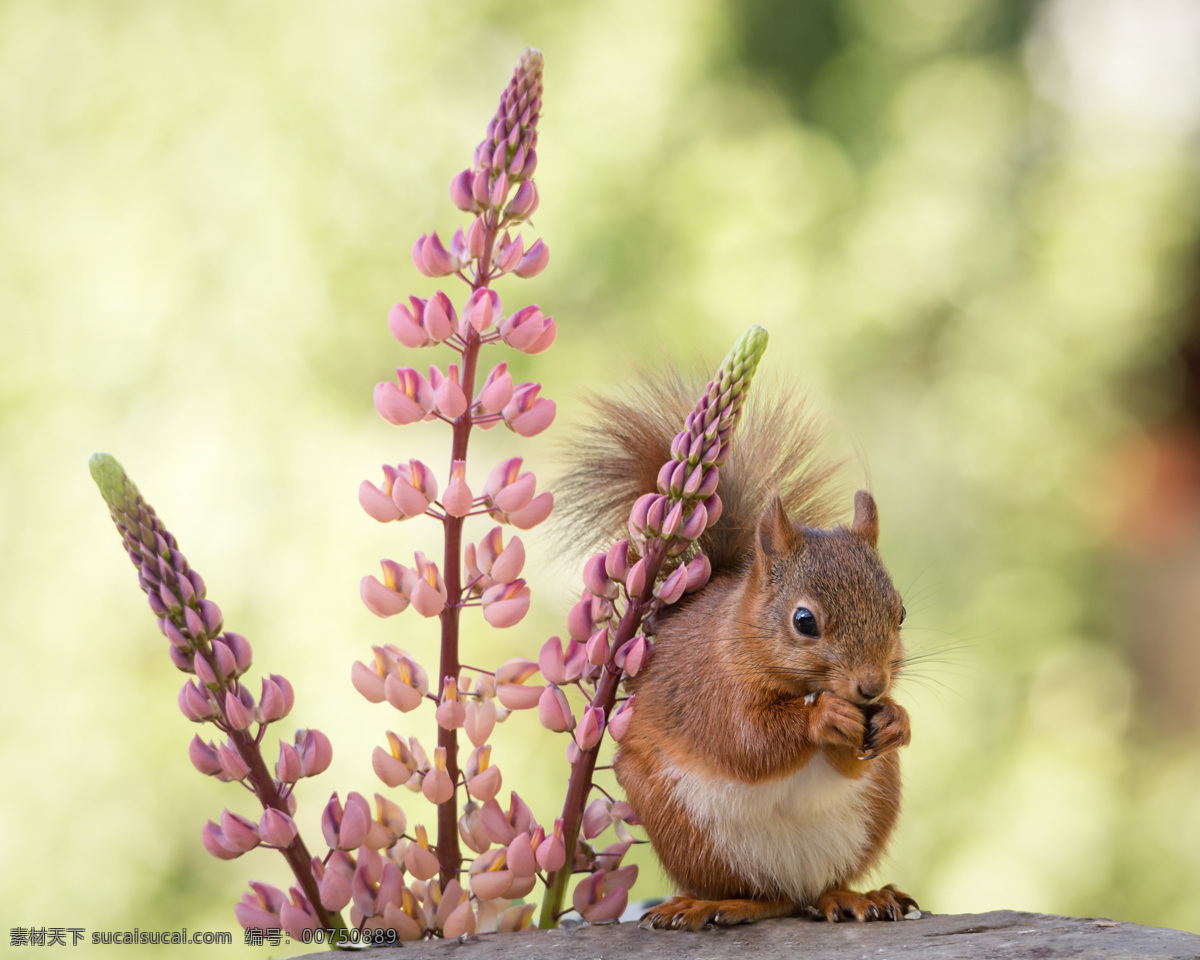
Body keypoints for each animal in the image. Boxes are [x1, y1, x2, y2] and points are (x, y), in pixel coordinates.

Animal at [561, 372, 916, 931]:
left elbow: (852, 761)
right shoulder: (713, 688)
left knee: (813, 892)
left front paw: (897, 720)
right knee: (763, 897)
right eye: (804, 621)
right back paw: (713, 904)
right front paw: (824, 716)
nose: (871, 687)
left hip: (871, 812)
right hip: (689, 832)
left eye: (899, 614)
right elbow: (748, 741)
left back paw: (857, 897)